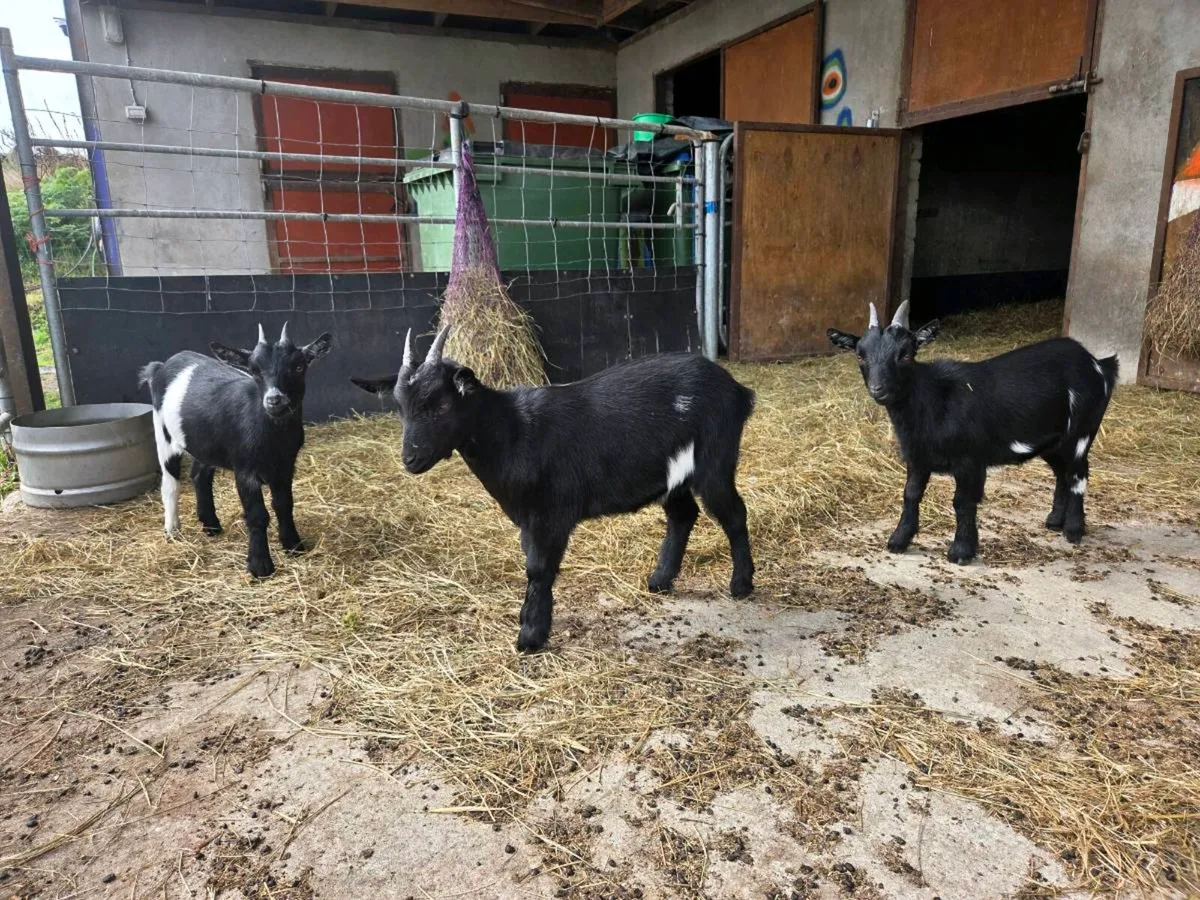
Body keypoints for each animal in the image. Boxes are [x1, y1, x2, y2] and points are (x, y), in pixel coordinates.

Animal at [139, 323, 332, 577]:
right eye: (254, 370)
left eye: (299, 366)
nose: (274, 400)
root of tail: (161, 366)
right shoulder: (244, 469)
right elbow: (257, 515)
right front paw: (260, 566)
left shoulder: (285, 466)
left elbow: (284, 505)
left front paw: (293, 545)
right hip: (163, 433)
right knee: (170, 483)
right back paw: (172, 529)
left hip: (205, 442)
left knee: (199, 475)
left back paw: (211, 525)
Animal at [352, 326, 756, 652]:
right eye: (401, 407)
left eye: (440, 405)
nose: (410, 459)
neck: (514, 432)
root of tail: (739, 391)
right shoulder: (528, 519)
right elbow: (532, 564)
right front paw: (528, 624)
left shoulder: (551, 513)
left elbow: (538, 569)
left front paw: (531, 635)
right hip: (671, 474)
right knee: (683, 514)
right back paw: (660, 580)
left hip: (714, 460)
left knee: (734, 514)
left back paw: (741, 584)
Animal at [828, 301, 1118, 564]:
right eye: (860, 355)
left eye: (906, 354)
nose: (879, 389)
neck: (932, 398)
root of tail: (1099, 365)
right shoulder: (918, 458)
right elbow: (910, 494)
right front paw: (899, 540)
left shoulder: (970, 461)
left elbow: (963, 502)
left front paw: (961, 551)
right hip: (1053, 441)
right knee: (1062, 473)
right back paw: (1055, 521)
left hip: (1081, 432)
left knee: (1078, 474)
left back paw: (1074, 530)